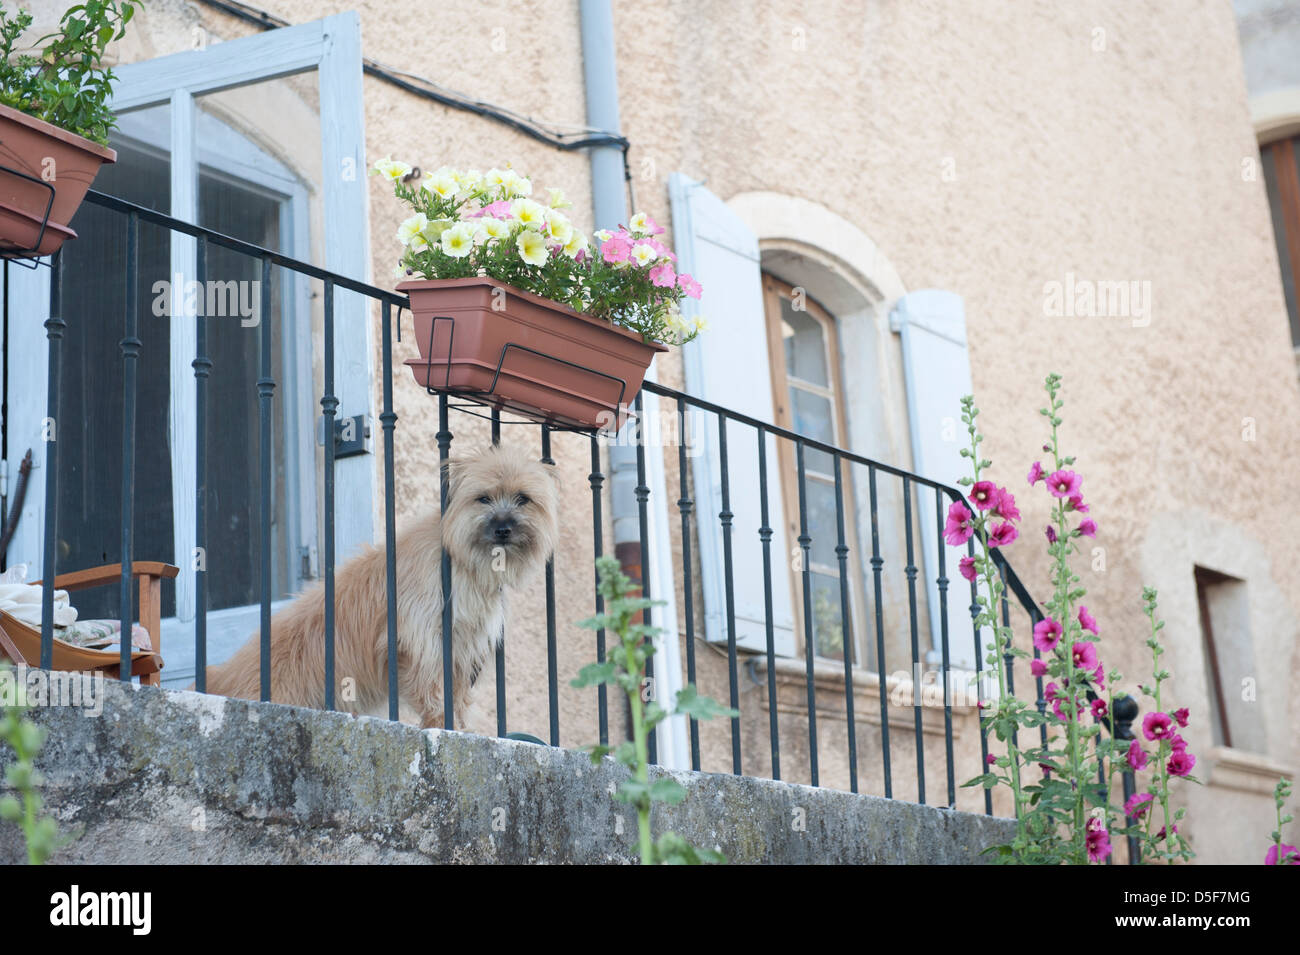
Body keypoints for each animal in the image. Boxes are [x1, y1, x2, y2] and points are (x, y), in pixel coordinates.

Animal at [200, 444, 556, 727]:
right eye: (483, 499)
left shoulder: (460, 650)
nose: (503, 528)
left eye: (523, 499)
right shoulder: (420, 640)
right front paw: (444, 727)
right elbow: (434, 692)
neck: (459, 562)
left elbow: (454, 696)